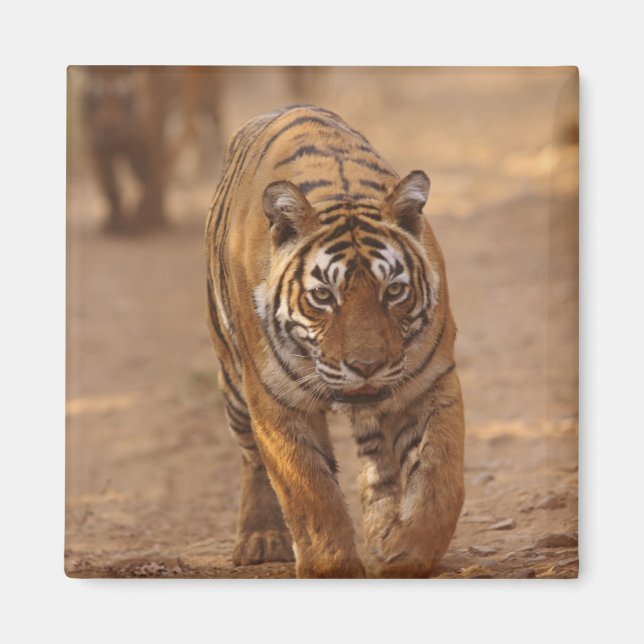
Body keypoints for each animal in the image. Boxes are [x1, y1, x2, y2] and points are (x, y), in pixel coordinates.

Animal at [205, 105, 465, 578]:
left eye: (393, 291)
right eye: (324, 296)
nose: (366, 367)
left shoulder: (431, 381)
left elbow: (440, 479)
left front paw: (407, 553)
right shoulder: (276, 399)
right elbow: (310, 493)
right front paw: (331, 569)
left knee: (378, 459)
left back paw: (383, 531)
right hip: (232, 382)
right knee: (252, 458)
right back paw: (260, 538)